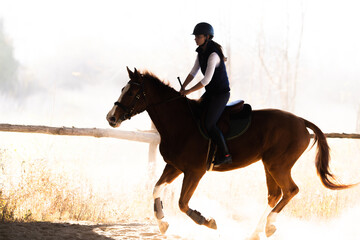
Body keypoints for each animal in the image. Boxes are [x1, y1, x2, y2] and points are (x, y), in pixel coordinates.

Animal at [106, 67, 354, 238]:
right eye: (123, 90)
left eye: (133, 93)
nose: (111, 118)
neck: (180, 123)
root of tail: (301, 121)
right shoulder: (174, 166)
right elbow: (156, 188)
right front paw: (162, 223)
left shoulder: (194, 172)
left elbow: (183, 203)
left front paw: (207, 221)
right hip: (269, 165)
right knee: (275, 194)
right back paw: (256, 232)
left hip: (278, 165)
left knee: (290, 190)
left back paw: (269, 226)